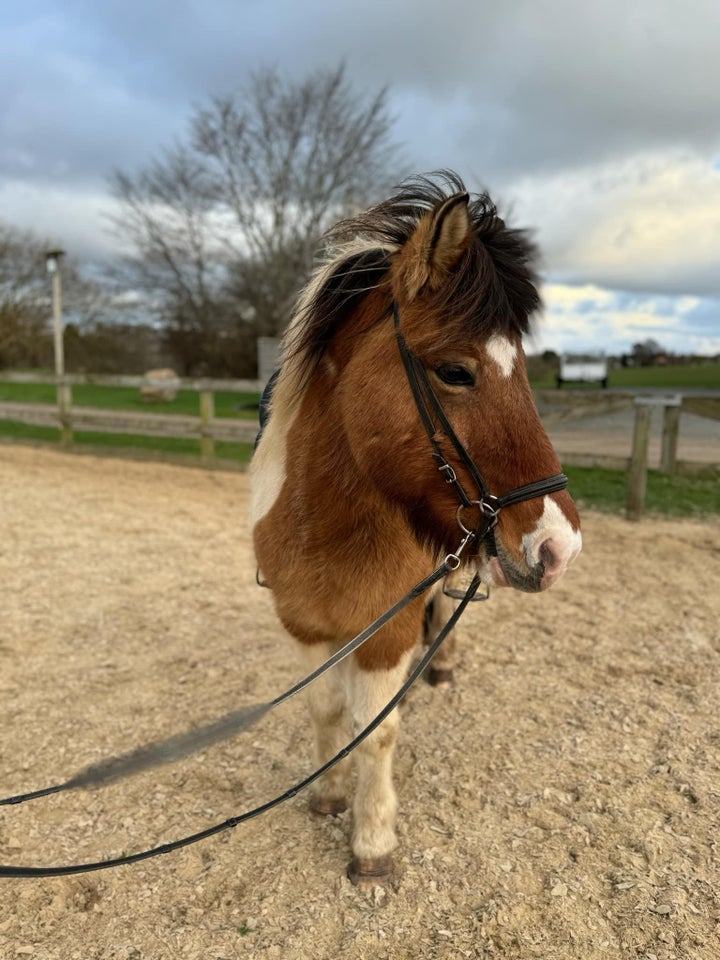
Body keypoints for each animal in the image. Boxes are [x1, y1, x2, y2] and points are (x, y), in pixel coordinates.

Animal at [250, 171, 584, 884]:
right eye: (456, 371)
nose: (559, 547)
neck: (324, 527)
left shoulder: (387, 632)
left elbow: (375, 729)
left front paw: (372, 843)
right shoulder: (304, 625)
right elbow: (326, 710)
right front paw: (328, 795)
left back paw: (445, 667)